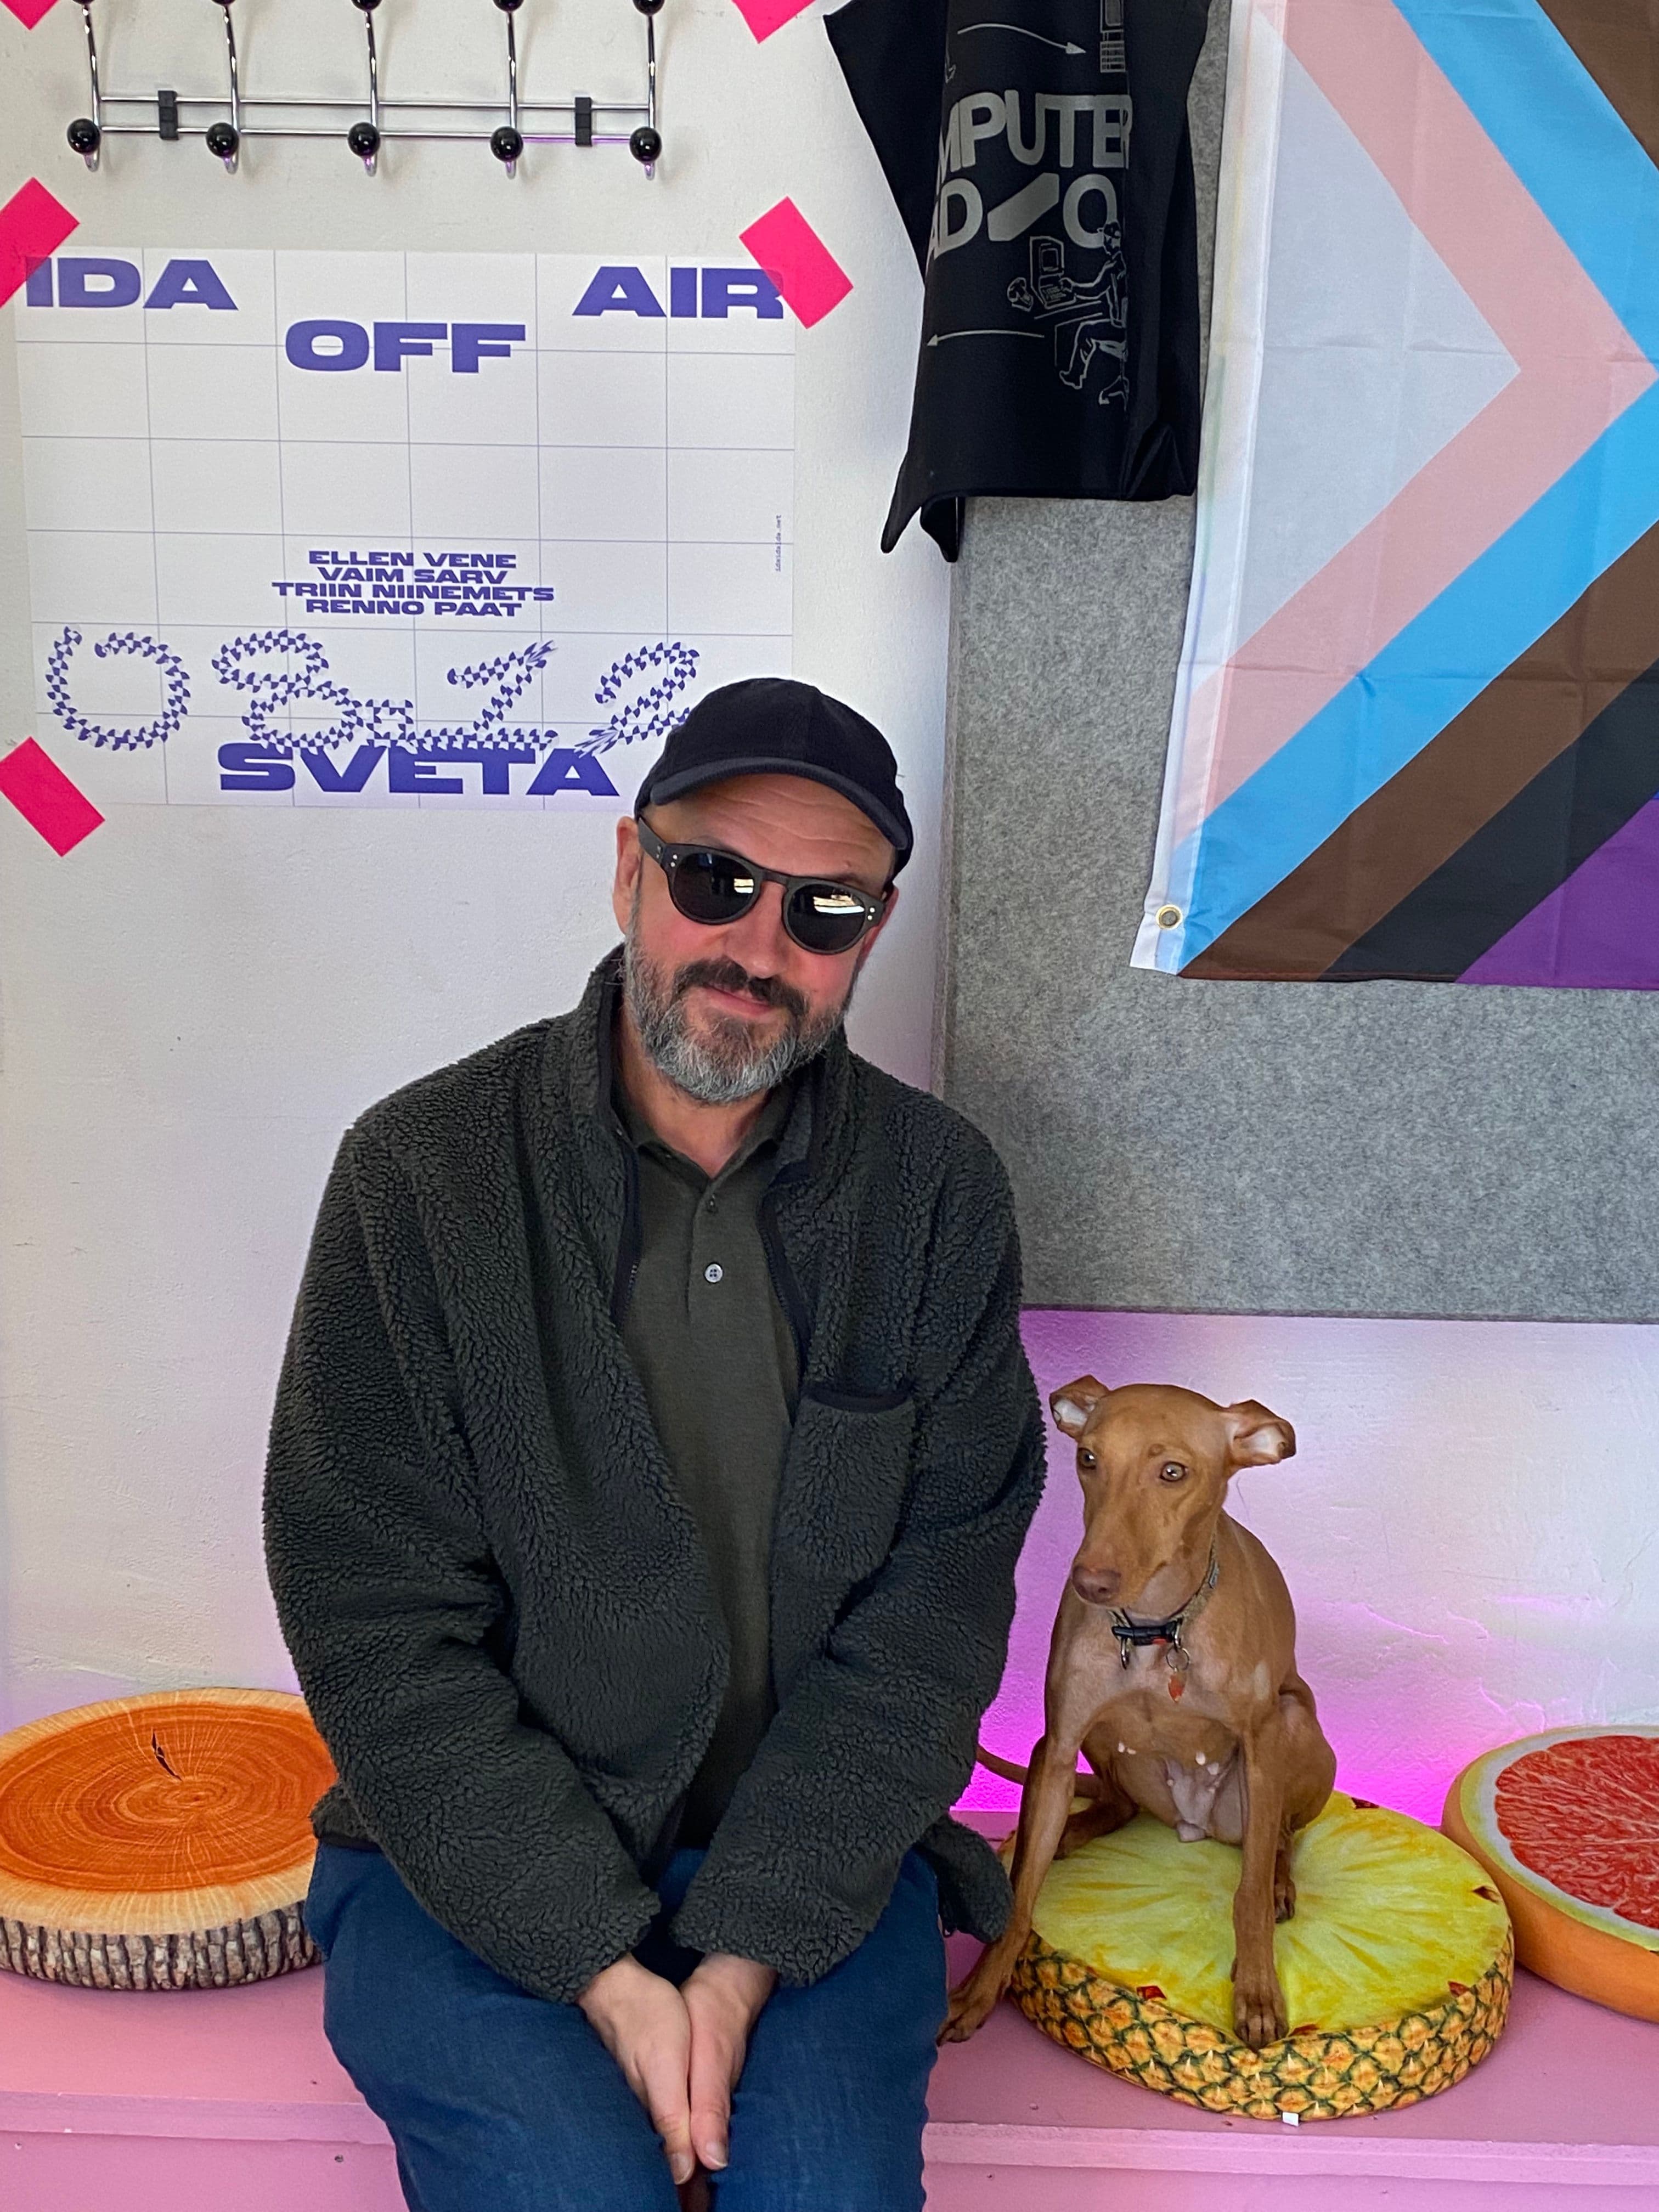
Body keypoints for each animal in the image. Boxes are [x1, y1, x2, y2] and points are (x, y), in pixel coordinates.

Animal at [942, 1378, 1337, 2050]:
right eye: (1089, 1459)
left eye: (1173, 1472)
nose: (1090, 1583)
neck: (1157, 1630)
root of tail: (1192, 1824)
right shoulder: (1056, 1743)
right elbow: (1020, 1898)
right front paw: (980, 1989)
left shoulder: (1261, 1743)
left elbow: (1249, 1893)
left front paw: (1257, 1989)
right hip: (1105, 1746)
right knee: (1114, 1805)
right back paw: (1063, 1834)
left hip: (1291, 1731)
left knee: (1278, 1838)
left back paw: (1282, 1880)